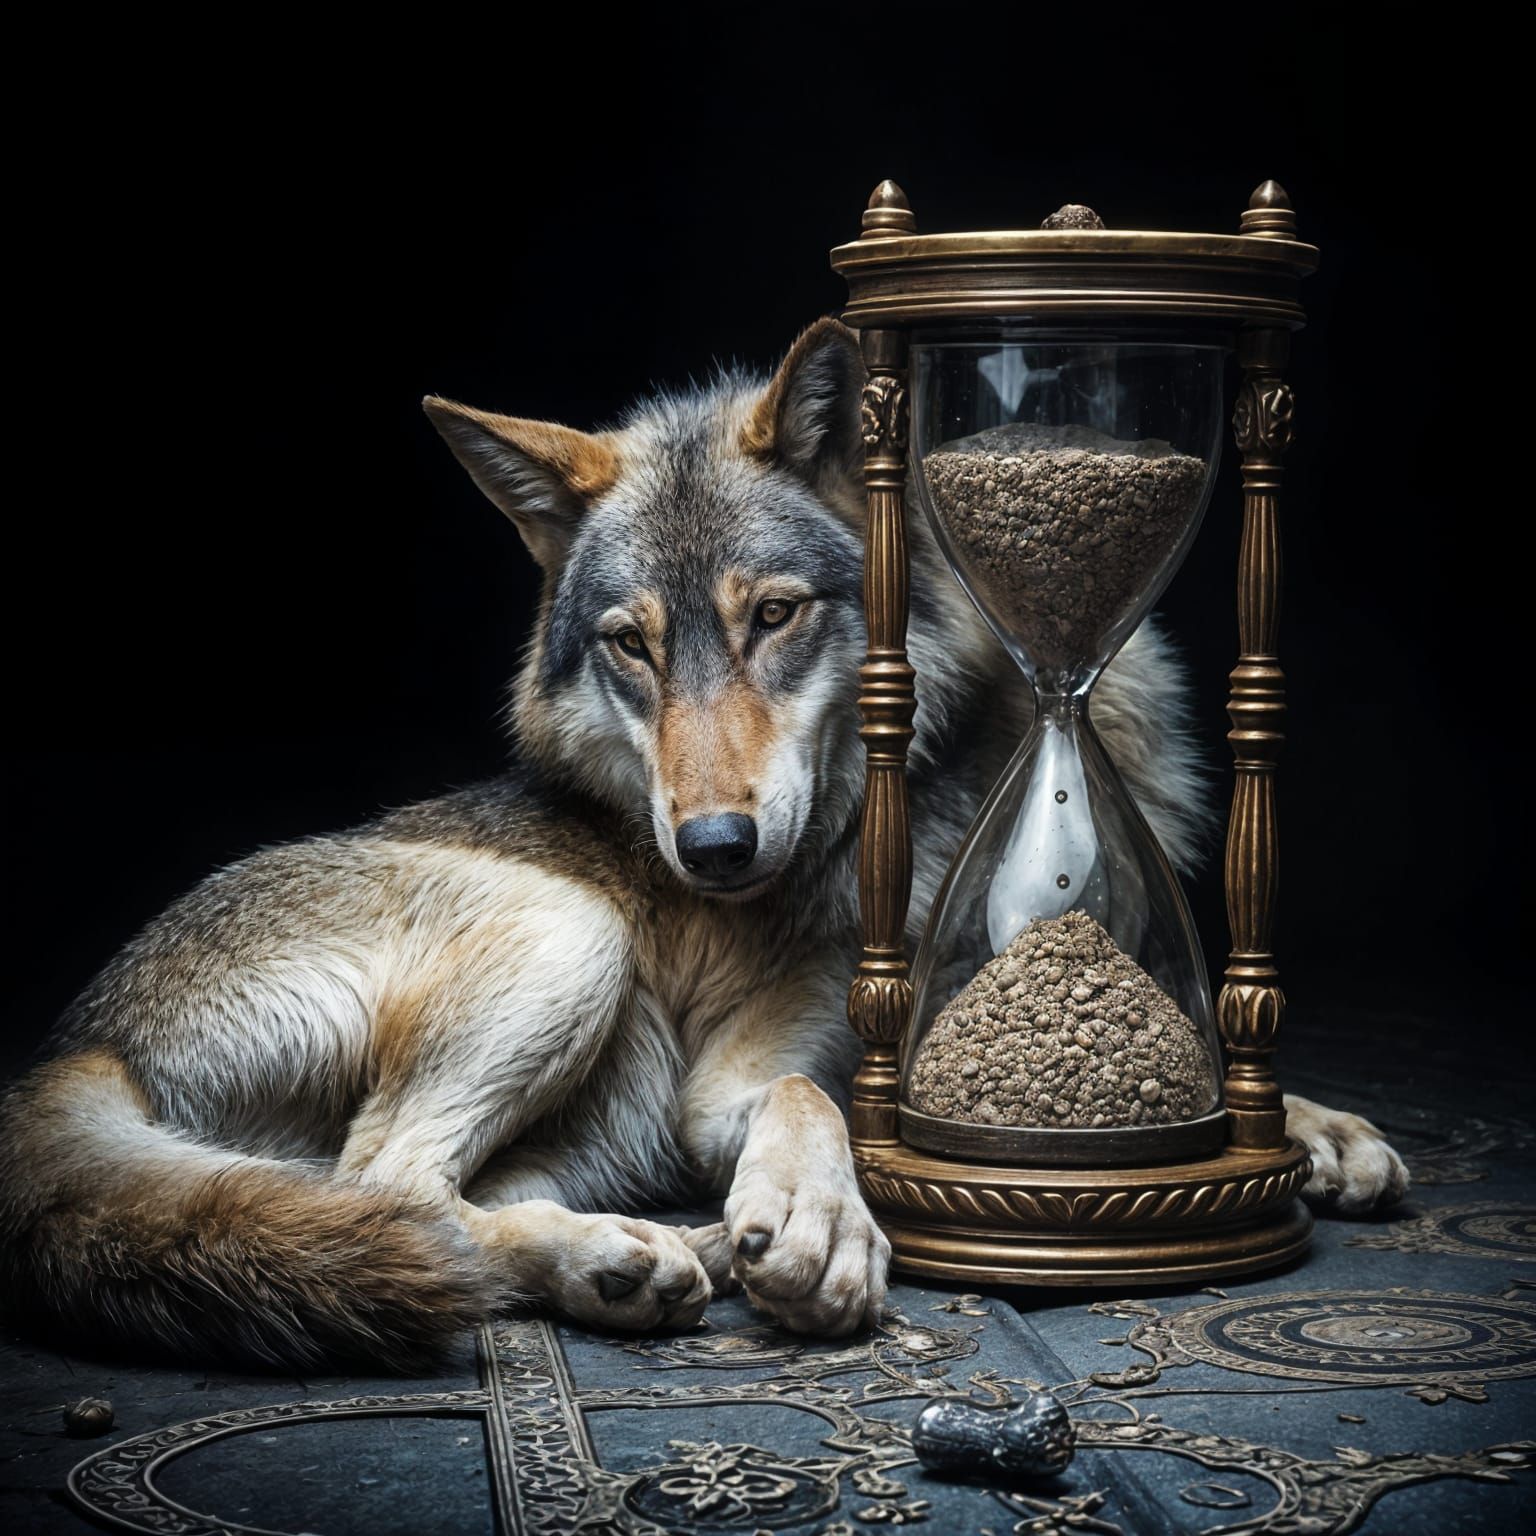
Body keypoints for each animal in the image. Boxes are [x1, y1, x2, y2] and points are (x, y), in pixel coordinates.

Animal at [0, 318, 1409, 1369]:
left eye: (773, 617)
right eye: (632, 645)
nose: (717, 849)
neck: (943, 793)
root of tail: (75, 1050)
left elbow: (1208, 1084)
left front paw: (1320, 1135)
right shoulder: (721, 1090)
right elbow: (810, 1094)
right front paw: (816, 1227)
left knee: (431, 1198)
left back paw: (633, 1261)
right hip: (573, 937)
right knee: (387, 1189)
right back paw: (626, 1260)